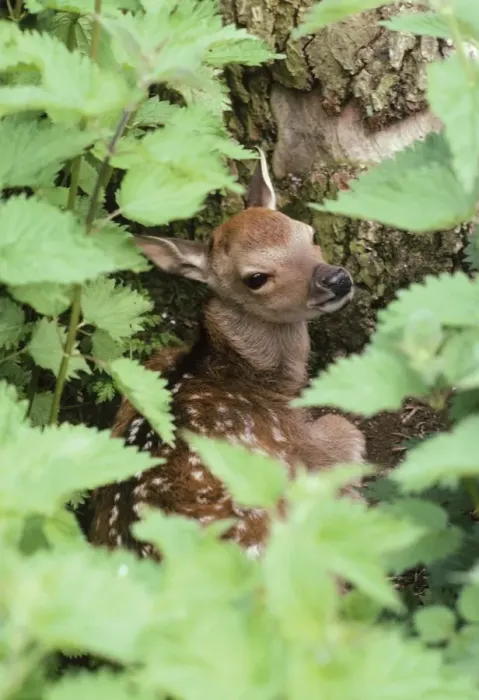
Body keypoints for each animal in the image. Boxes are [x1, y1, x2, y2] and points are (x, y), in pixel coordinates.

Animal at [88, 150, 366, 562]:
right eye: (256, 278)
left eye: (310, 234)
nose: (336, 280)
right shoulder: (305, 449)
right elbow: (347, 433)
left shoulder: (151, 368)